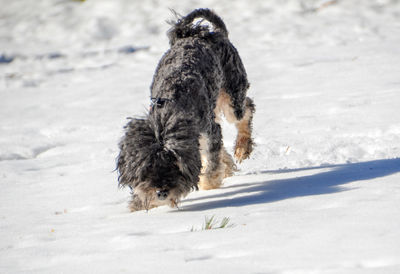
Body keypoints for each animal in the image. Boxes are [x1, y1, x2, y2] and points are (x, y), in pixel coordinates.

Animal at [117, 7, 255, 211]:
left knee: (247, 109)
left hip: (232, 96)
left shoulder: (208, 131)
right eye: (146, 168)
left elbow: (212, 164)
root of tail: (210, 33)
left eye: (175, 164)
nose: (161, 192)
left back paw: (242, 147)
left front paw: (210, 185)